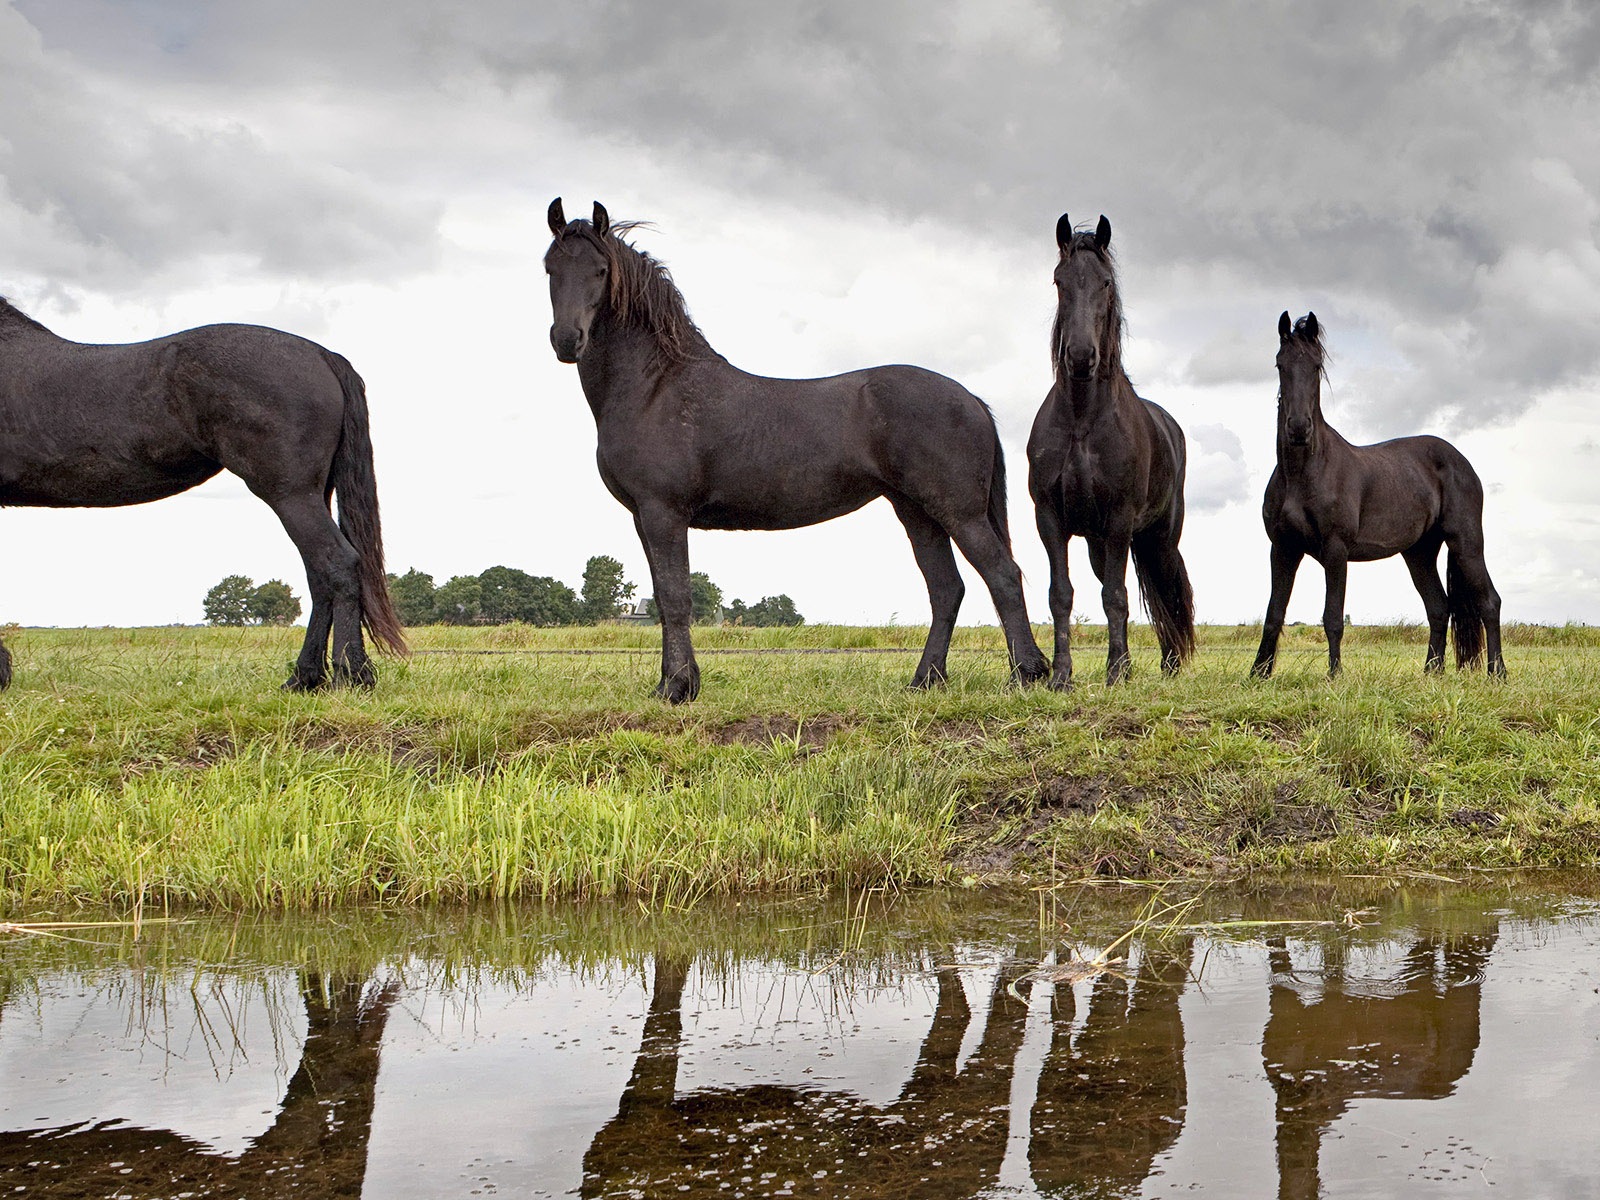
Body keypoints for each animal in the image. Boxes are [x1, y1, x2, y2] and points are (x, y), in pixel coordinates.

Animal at [0, 296, 406, 691]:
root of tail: (321, 354)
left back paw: (350, 675)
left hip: (291, 495)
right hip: (313, 495)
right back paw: (304, 678)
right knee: (319, 576)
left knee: (337, 564)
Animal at [544, 198, 1056, 704]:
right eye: (550, 266)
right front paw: (671, 684)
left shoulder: (663, 512)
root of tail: (971, 400)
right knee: (947, 589)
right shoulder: (643, 516)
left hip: (958, 512)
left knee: (1002, 575)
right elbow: (663, 595)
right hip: (916, 512)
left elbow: (675, 597)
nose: (567, 340)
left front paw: (678, 688)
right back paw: (925, 680)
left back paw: (1027, 674)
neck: (656, 386)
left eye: (601, 270)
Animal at [1030, 211, 1196, 691]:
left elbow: (1117, 596)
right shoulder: (1050, 519)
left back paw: (1169, 663)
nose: (1081, 356)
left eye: (1105, 282)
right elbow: (1061, 595)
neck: (1082, 421)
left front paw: (1117, 671)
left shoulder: (1121, 519)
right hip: (1097, 543)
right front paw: (1061, 675)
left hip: (1158, 537)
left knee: (1164, 591)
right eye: (1059, 280)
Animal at [1248, 315, 1497, 681]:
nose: (1298, 429)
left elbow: (1333, 617)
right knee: (1439, 607)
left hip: (1466, 544)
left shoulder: (1335, 550)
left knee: (1489, 602)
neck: (1302, 474)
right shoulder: (1282, 548)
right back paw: (1431, 674)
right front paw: (1258, 675)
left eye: (1316, 365)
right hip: (1419, 553)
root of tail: (1461, 462)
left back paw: (1498, 673)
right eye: (1280, 364)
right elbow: (1273, 614)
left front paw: (1335, 675)